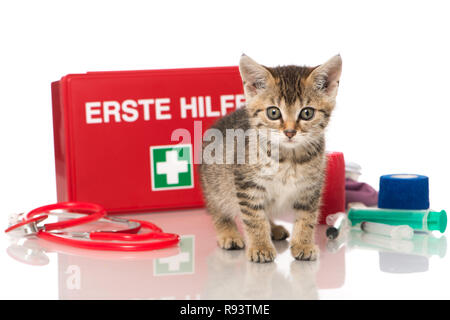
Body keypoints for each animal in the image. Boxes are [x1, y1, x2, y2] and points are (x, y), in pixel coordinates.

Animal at [199, 53, 342, 262]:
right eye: (273, 112)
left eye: (307, 113)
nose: (290, 132)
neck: (288, 158)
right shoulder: (247, 185)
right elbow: (253, 218)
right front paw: (260, 246)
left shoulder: (310, 188)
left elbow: (307, 218)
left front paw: (303, 244)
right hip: (214, 185)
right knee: (219, 210)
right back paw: (229, 233)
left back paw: (274, 229)